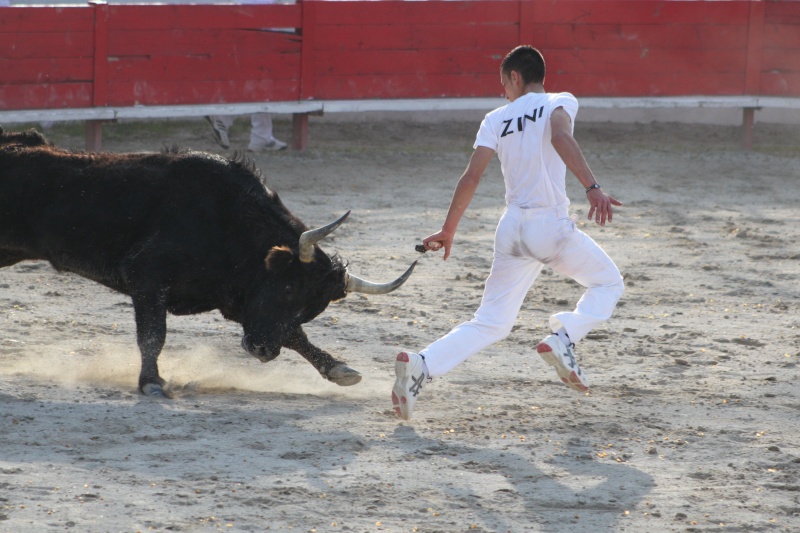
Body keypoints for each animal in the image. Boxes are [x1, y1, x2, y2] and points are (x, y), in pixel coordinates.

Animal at [3, 128, 418, 394]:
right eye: (287, 288)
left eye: (313, 309)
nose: (263, 353)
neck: (228, 226)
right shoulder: (147, 277)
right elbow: (153, 335)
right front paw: (152, 383)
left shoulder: (241, 305)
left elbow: (293, 334)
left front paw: (339, 369)